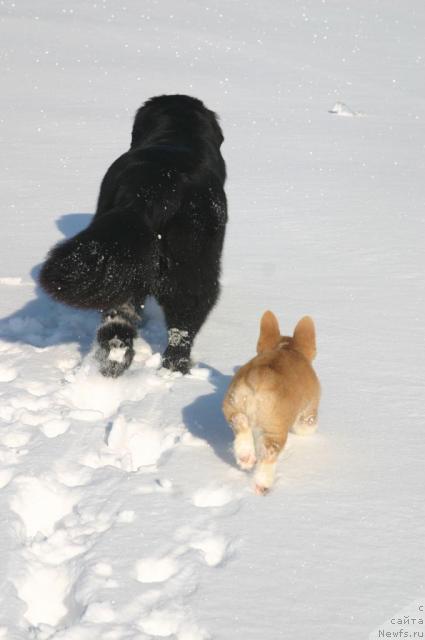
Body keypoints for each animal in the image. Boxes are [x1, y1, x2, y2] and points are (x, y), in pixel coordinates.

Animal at [39, 95, 225, 376]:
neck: (177, 133)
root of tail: (152, 191)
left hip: (125, 265)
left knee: (118, 319)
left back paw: (112, 362)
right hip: (194, 267)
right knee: (183, 324)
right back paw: (175, 370)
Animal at [222, 312, 318, 496]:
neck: (286, 348)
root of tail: (260, 377)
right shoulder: (308, 412)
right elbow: (307, 427)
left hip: (232, 404)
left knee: (239, 421)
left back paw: (245, 456)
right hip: (275, 429)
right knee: (269, 455)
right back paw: (262, 484)